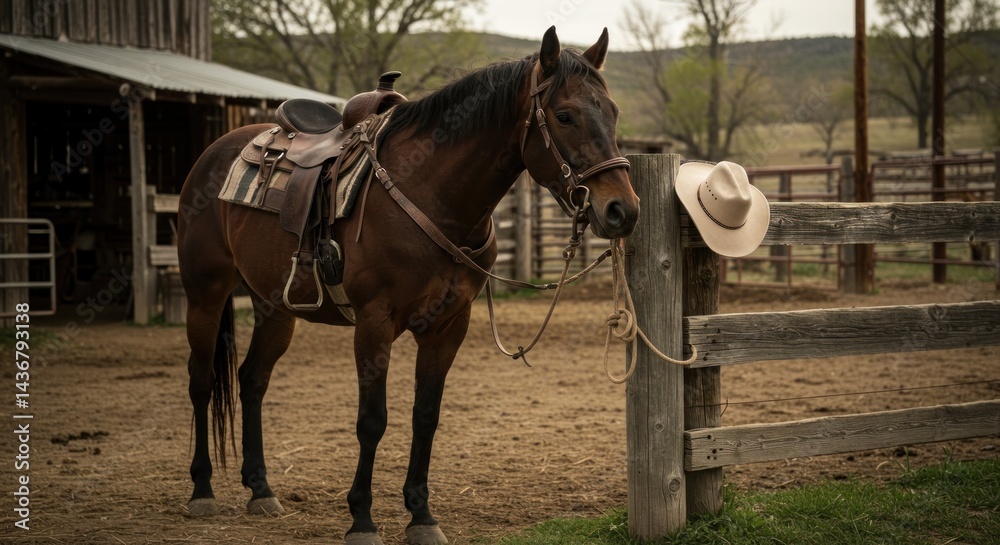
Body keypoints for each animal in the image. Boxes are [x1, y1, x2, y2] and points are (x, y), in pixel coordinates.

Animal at [177, 26, 639, 545]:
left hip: (275, 308)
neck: (430, 195)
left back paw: (260, 489)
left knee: (252, 379)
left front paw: (422, 517)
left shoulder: (448, 326)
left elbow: (426, 417)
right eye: (564, 115)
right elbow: (372, 421)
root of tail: (214, 153)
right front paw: (361, 519)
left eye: (613, 112)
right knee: (201, 380)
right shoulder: (374, 324)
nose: (622, 209)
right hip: (205, 294)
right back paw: (202, 491)